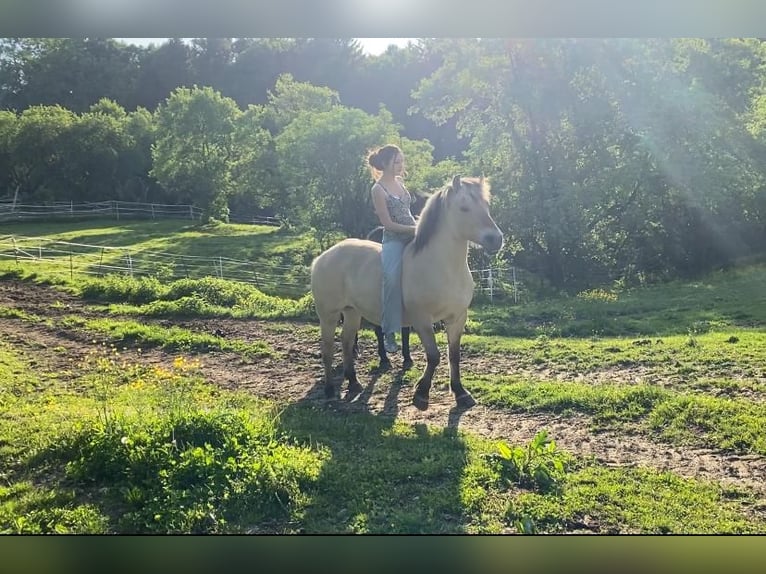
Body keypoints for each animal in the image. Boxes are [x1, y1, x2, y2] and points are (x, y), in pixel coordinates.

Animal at [310, 175, 503, 411]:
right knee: (328, 349)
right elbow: (434, 355)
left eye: (486, 205)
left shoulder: (457, 318)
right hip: (328, 315)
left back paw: (354, 383)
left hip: (352, 312)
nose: (496, 239)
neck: (442, 267)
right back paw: (329, 390)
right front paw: (421, 394)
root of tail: (322, 257)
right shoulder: (422, 320)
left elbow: (454, 355)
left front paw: (460, 392)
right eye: (464, 207)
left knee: (346, 344)